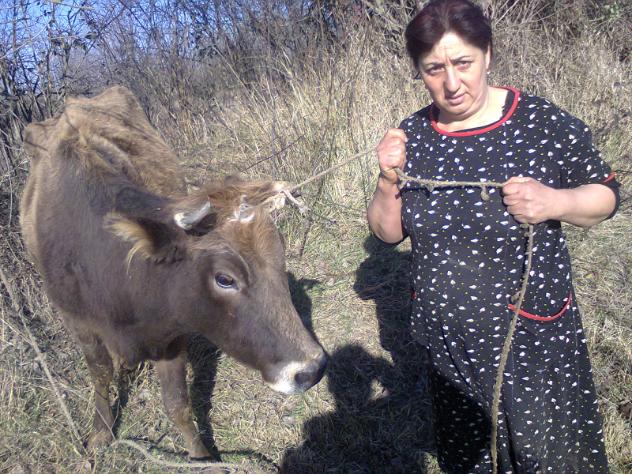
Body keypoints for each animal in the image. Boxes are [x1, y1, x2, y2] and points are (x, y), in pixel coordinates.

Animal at [19, 86, 327, 458]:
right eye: (225, 278)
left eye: (281, 258)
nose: (311, 368)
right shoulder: (79, 323)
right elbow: (101, 375)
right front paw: (100, 433)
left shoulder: (169, 336)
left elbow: (177, 403)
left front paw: (201, 458)